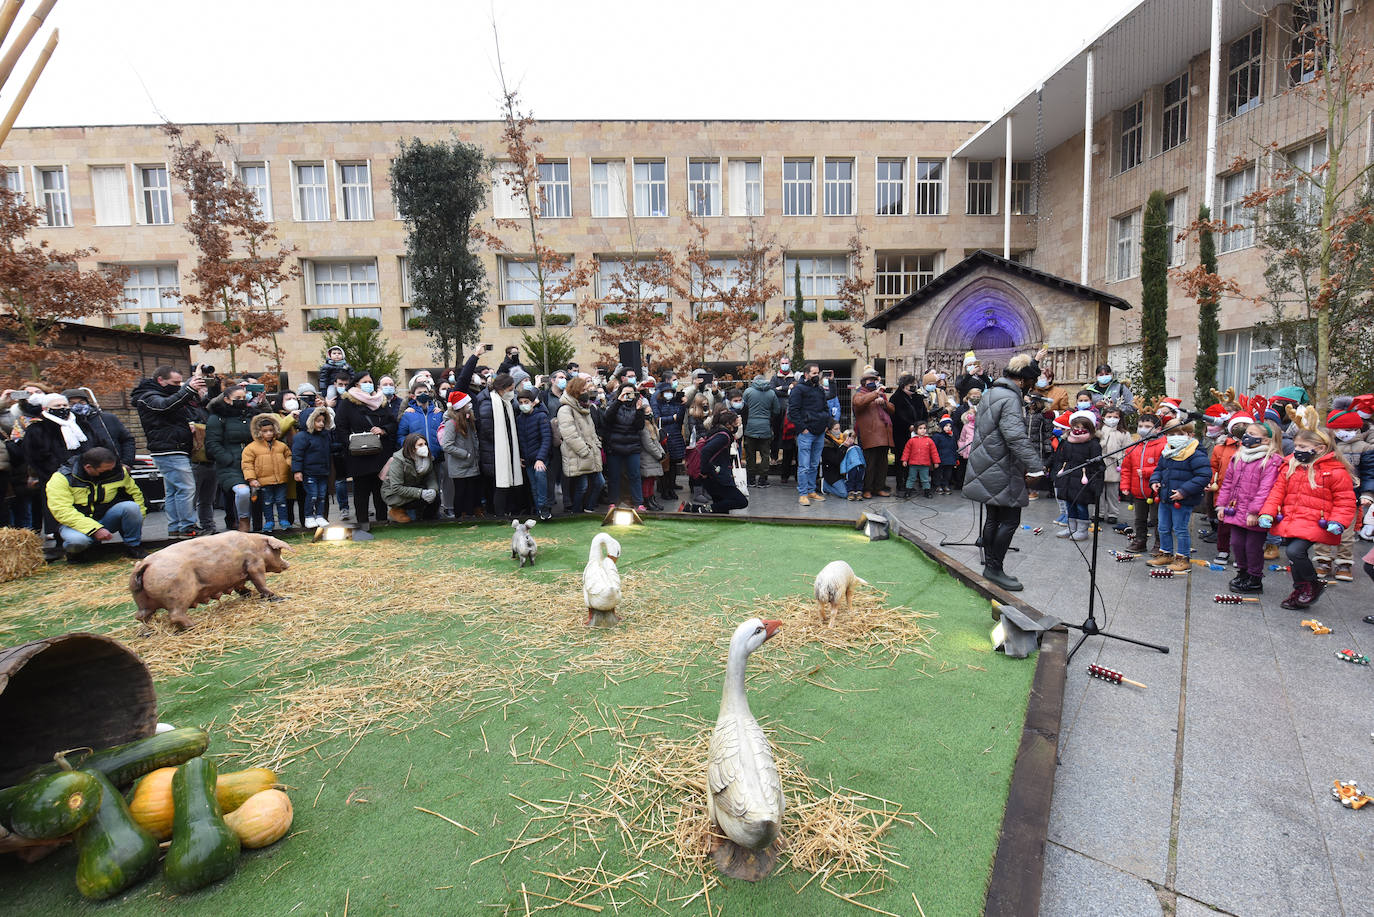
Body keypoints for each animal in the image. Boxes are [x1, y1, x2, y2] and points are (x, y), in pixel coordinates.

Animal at [132, 530, 291, 632]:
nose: (288, 564)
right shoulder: (254, 565)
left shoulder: (238, 576)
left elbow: (241, 587)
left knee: (140, 616)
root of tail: (145, 564)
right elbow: (260, 582)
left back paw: (149, 631)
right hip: (179, 594)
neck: (255, 545)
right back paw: (197, 626)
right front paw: (277, 596)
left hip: (142, 599)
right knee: (175, 615)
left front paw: (248, 594)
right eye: (278, 552)